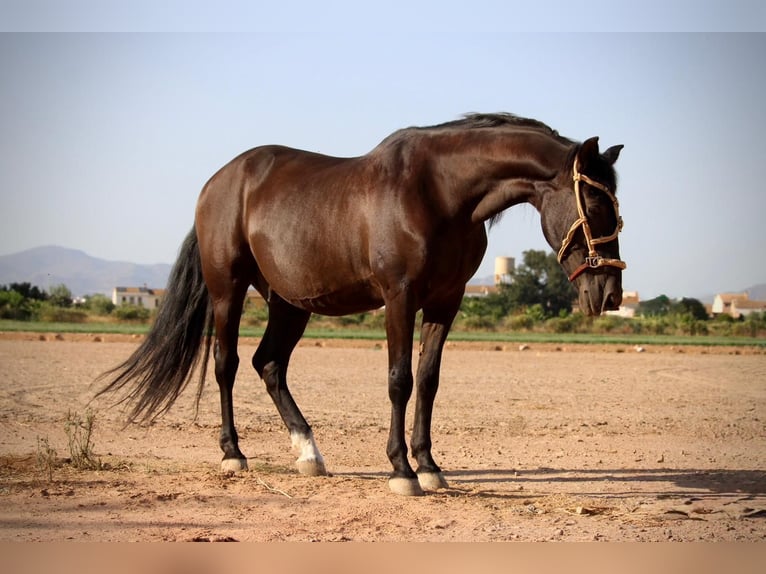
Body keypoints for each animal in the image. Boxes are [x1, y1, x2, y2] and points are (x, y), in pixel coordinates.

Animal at [99, 113, 625, 496]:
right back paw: (233, 454)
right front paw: (401, 471)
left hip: (290, 303)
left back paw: (309, 454)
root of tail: (217, 183)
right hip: (228, 290)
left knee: (268, 364)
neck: (439, 191)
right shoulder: (399, 296)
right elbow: (399, 380)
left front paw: (429, 465)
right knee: (226, 365)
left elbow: (428, 381)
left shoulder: (446, 302)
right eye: (596, 205)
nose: (610, 296)